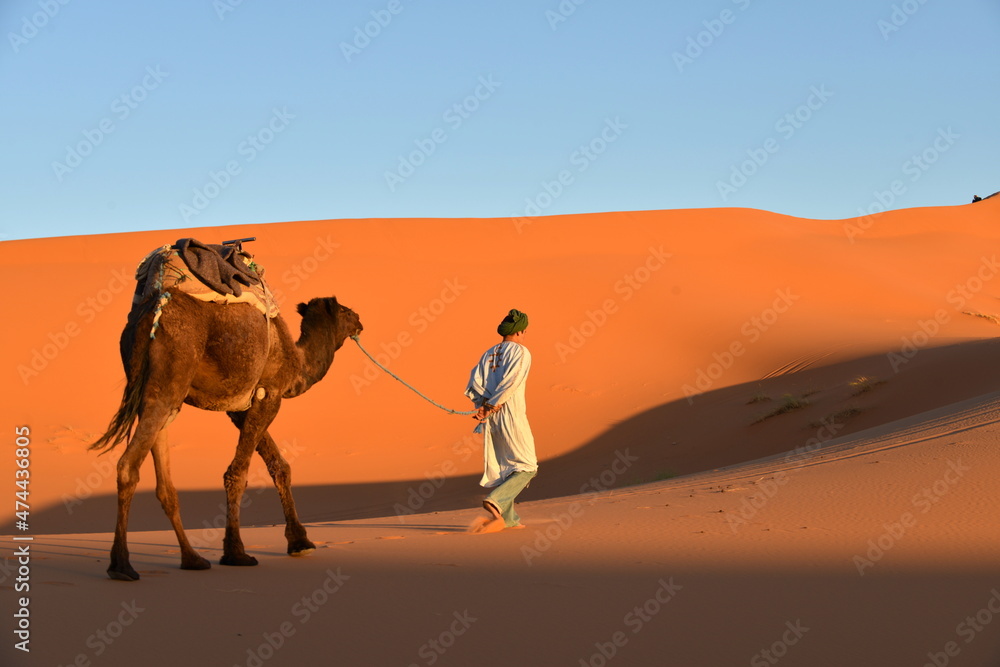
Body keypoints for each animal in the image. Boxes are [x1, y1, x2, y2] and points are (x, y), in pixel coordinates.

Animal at [90, 276, 362, 581]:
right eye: (344, 310)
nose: (359, 319)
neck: (296, 361)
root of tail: (149, 314)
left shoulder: (240, 408)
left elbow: (279, 466)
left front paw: (299, 541)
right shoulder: (270, 394)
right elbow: (238, 473)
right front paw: (236, 552)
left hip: (154, 389)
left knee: (164, 480)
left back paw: (192, 558)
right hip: (169, 377)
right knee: (128, 465)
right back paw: (122, 565)